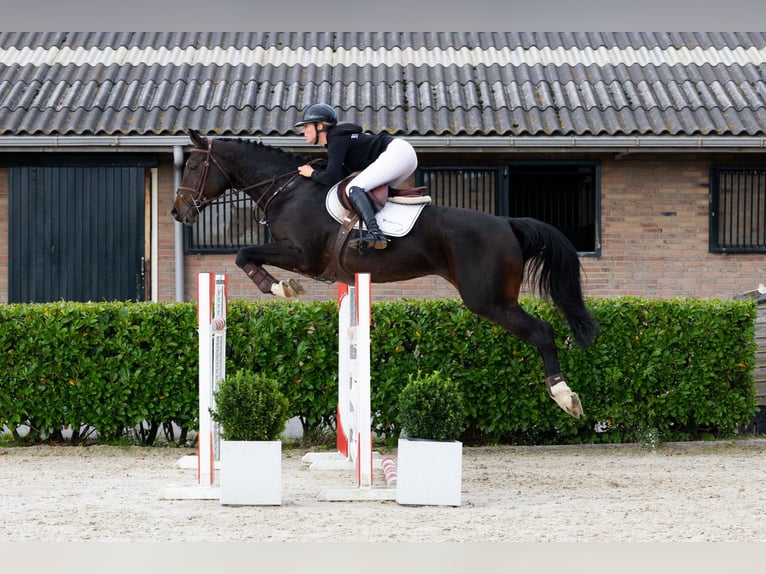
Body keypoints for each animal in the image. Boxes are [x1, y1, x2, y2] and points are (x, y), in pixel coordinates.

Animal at [171, 130, 599, 418]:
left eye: (192, 165)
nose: (178, 212)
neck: (287, 189)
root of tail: (508, 223)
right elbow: (246, 255)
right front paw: (281, 286)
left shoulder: (302, 255)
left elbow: (244, 254)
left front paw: (280, 287)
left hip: (489, 300)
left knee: (542, 333)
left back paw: (566, 397)